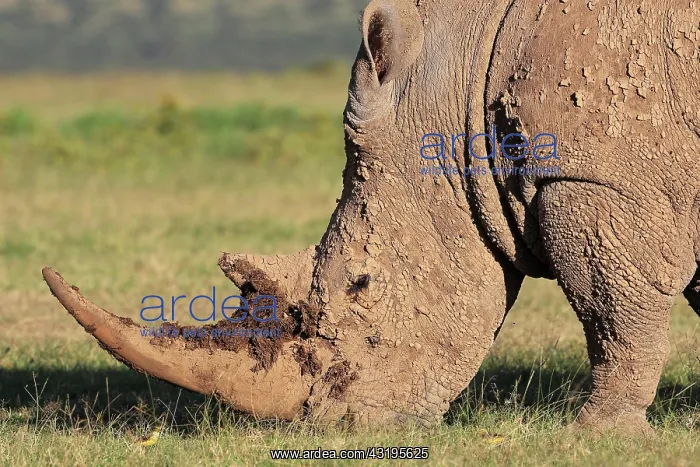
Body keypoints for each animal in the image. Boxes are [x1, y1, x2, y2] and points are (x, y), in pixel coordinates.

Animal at [43, 0, 699, 433]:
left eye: (362, 284)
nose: (333, 425)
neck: (459, 77)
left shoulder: (592, 176)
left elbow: (612, 310)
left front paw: (599, 434)